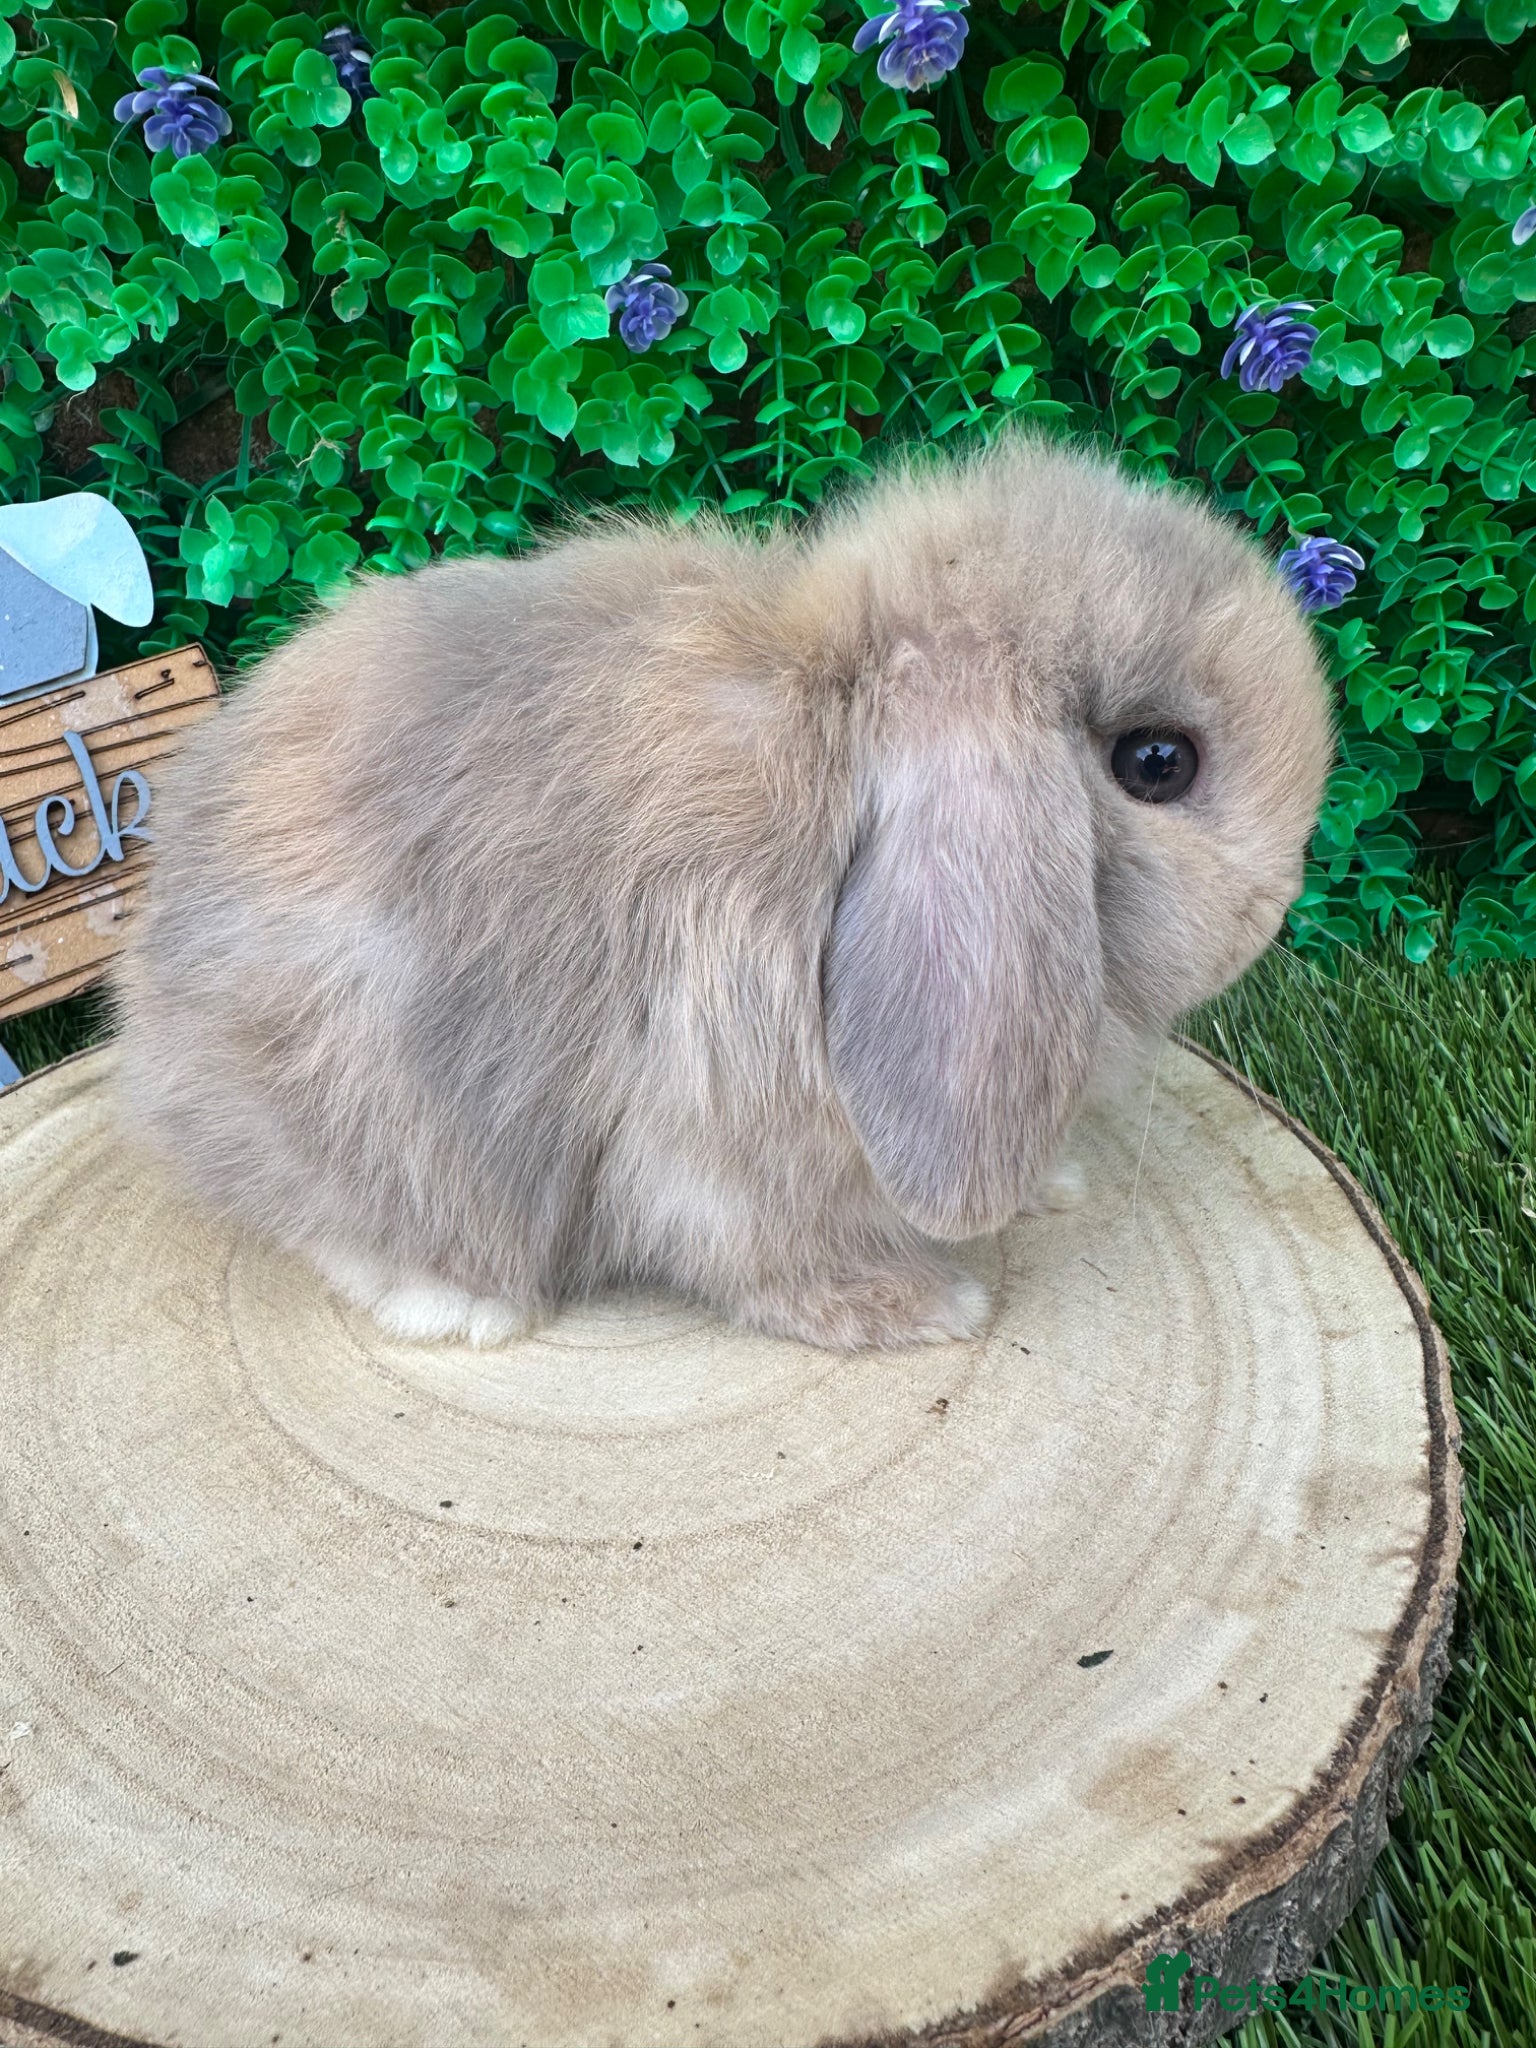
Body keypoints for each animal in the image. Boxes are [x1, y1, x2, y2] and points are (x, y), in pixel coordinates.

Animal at [110, 426, 1336, 1353]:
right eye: (1157, 763)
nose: (1271, 915)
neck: (838, 717)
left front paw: (1052, 1184)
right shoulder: (720, 1113)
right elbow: (759, 1247)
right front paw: (920, 1307)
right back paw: (460, 1303)